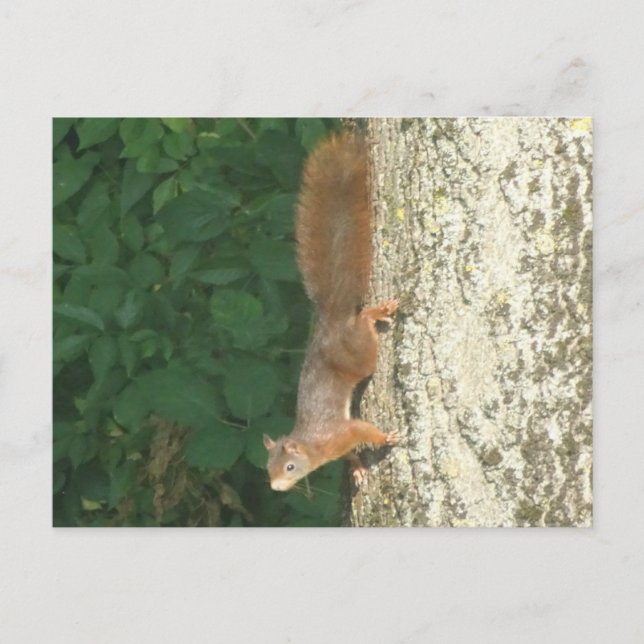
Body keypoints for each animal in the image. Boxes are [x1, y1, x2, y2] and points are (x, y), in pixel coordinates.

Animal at [263, 131, 400, 492]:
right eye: (267, 469)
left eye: (290, 467)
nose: (275, 488)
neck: (313, 446)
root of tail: (330, 322)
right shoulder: (338, 446)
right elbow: (350, 455)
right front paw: (358, 469)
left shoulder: (339, 433)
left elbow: (363, 430)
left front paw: (385, 438)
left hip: (357, 355)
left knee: (364, 332)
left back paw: (374, 313)